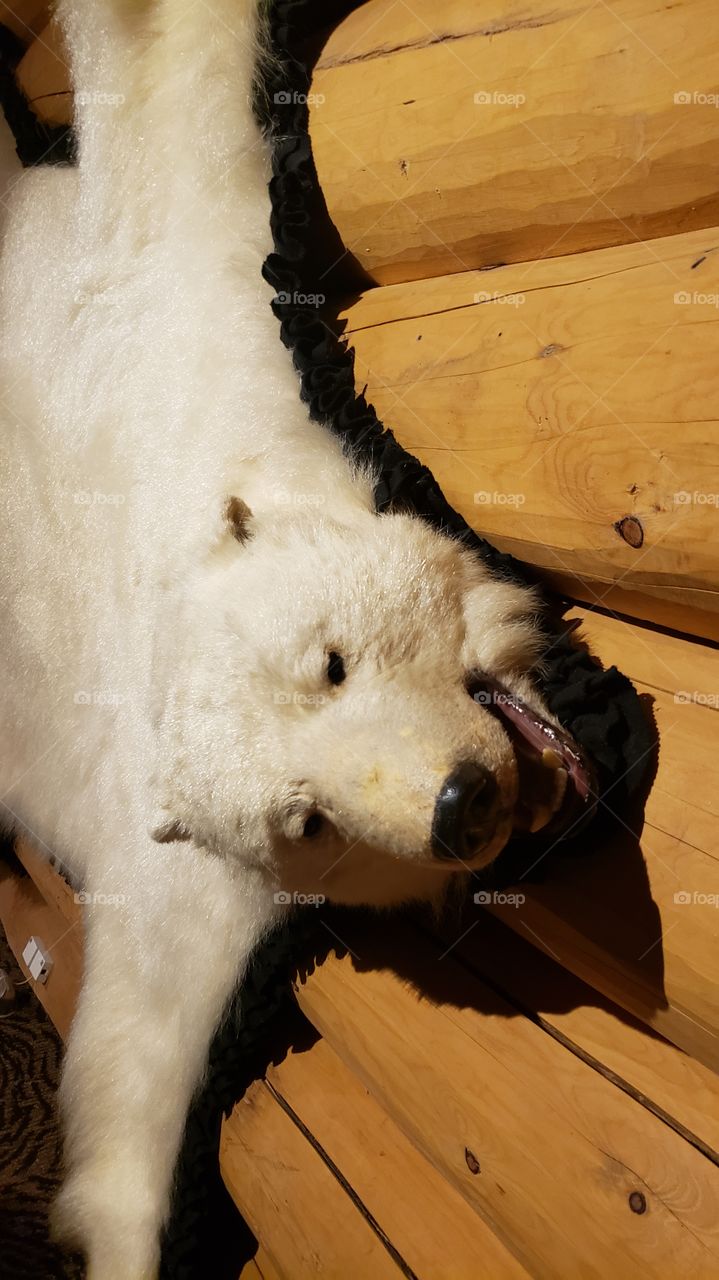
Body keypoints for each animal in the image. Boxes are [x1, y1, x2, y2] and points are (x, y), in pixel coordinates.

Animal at [0, 2, 586, 1274]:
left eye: (330, 657)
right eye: (305, 821)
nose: (460, 803)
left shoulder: (184, 316)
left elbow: (159, 73)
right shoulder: (179, 879)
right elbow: (129, 1085)